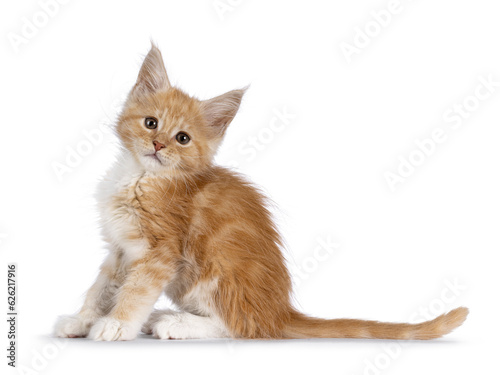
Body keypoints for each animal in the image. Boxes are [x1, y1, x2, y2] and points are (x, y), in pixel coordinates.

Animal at [54, 44, 468, 340]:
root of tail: (280, 310)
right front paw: (82, 319)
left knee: (240, 326)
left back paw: (175, 322)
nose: (158, 145)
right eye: (151, 123)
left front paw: (116, 324)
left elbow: (135, 291)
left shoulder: (161, 250)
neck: (140, 177)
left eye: (182, 138)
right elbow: (102, 287)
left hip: (215, 269)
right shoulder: (120, 248)